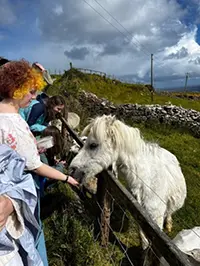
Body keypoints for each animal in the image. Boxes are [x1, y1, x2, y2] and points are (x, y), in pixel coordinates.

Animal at [69, 115, 187, 249]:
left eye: (93, 145)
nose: (72, 169)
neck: (148, 180)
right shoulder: (143, 221)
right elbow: (144, 241)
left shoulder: (155, 223)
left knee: (169, 212)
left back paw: (169, 224)